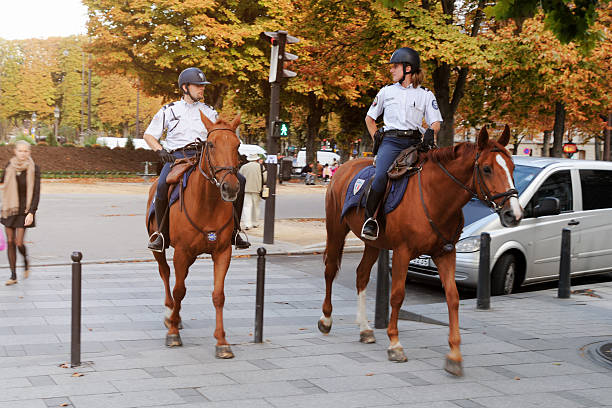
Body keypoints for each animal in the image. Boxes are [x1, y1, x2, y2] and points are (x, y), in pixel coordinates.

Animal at [148, 113, 241, 358]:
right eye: (211, 144)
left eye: (238, 145)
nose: (230, 187)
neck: (207, 203)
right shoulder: (181, 252)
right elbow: (179, 290)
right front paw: (172, 333)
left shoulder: (222, 252)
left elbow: (218, 295)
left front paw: (222, 342)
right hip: (161, 248)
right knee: (165, 274)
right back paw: (169, 314)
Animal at [318, 126, 524, 374]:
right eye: (487, 168)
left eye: (512, 167)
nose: (514, 214)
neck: (435, 197)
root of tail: (344, 166)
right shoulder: (402, 252)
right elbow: (397, 295)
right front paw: (395, 344)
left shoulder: (445, 253)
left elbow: (453, 297)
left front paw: (454, 354)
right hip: (336, 229)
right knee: (330, 270)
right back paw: (326, 319)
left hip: (374, 244)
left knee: (361, 275)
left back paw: (365, 328)